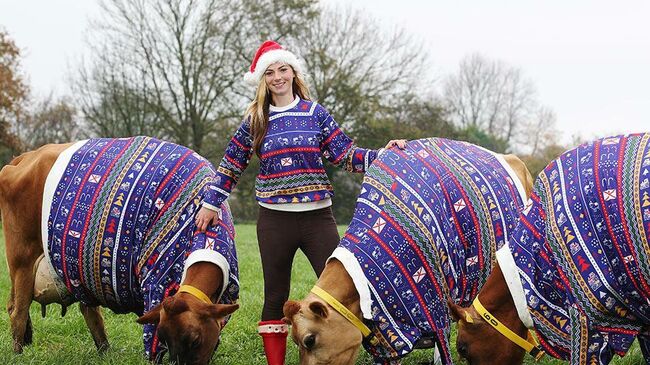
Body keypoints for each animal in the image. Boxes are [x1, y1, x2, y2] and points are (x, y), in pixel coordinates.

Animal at [0, 137, 238, 364]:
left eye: (196, 340)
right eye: (165, 338)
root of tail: (25, 157)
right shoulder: (156, 283)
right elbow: (151, 343)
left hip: (75, 269)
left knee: (87, 311)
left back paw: (105, 352)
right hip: (22, 262)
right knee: (18, 311)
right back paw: (18, 355)